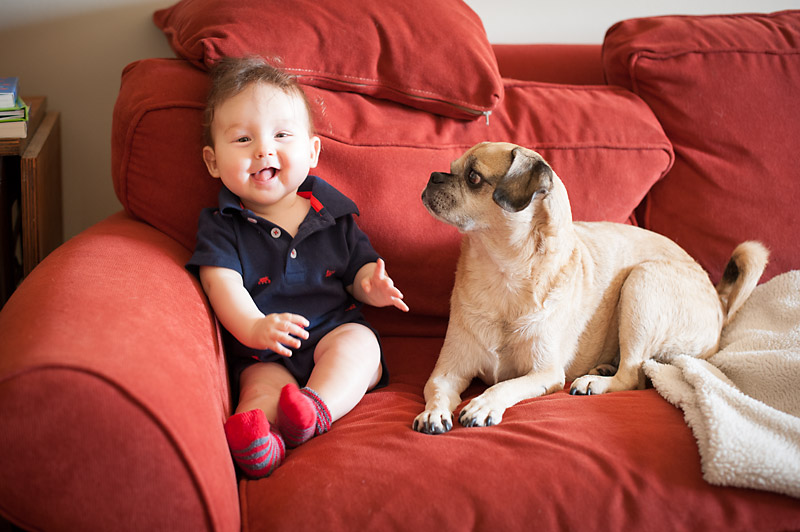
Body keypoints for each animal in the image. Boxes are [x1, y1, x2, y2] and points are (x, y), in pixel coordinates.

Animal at [412, 143, 768, 434]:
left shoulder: (545, 373)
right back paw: (604, 367)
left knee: (633, 375)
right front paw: (433, 413)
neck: (502, 272)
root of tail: (719, 302)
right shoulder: (448, 370)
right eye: (452, 167)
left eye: (473, 178)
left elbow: (505, 387)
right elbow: (436, 390)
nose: (433, 176)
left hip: (642, 282)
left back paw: (594, 383)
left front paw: (484, 404)